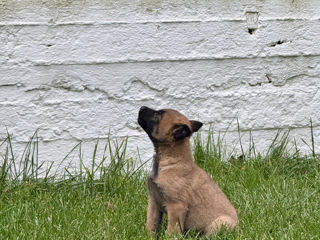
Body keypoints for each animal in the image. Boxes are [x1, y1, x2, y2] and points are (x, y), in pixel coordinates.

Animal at [138, 107, 238, 236]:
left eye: (158, 114)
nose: (141, 108)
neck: (170, 161)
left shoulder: (176, 206)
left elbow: (171, 230)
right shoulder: (153, 202)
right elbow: (151, 224)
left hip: (221, 222)